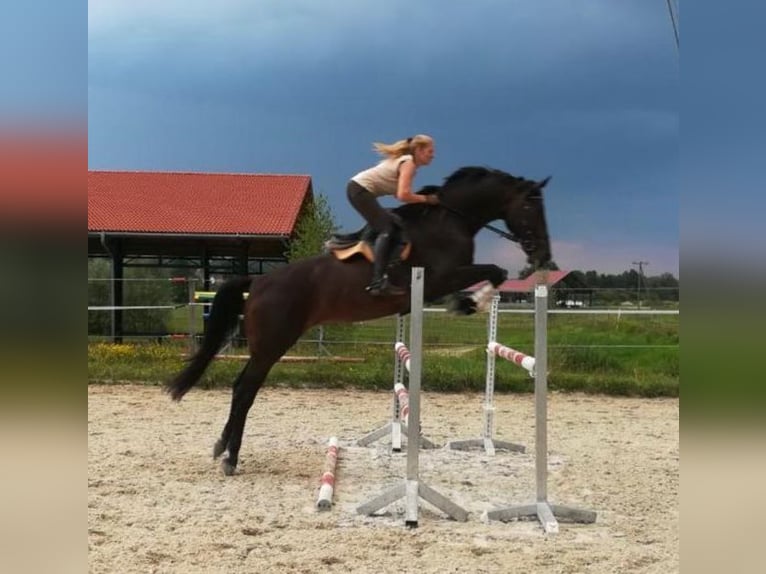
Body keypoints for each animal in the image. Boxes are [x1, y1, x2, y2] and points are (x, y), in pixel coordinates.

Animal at [166, 164, 552, 474]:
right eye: (530, 206)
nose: (544, 255)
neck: (452, 219)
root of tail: (258, 281)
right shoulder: (440, 277)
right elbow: (496, 270)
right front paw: (471, 302)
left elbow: (494, 273)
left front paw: (469, 302)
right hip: (273, 345)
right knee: (245, 389)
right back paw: (231, 457)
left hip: (266, 346)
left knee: (239, 388)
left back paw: (221, 447)